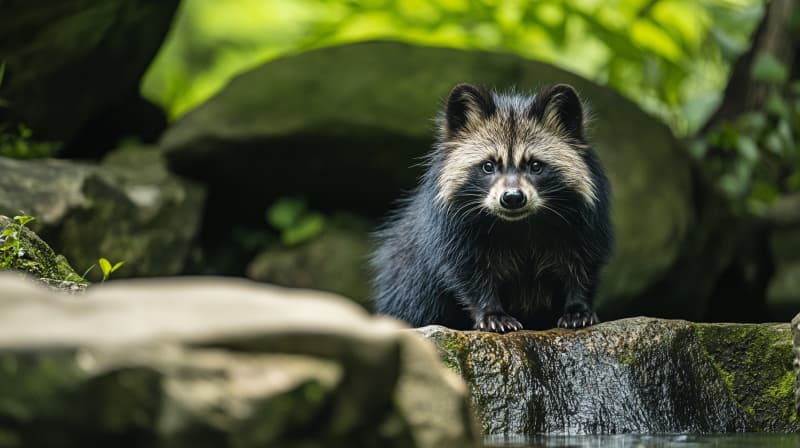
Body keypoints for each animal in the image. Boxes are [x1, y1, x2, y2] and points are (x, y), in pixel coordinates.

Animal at [371, 83, 613, 332]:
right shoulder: (453, 233)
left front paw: (577, 306)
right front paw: (490, 311)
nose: (513, 198)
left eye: (535, 166)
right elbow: (468, 272)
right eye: (488, 166)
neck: (519, 223)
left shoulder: (582, 225)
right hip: (406, 285)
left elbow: (582, 264)